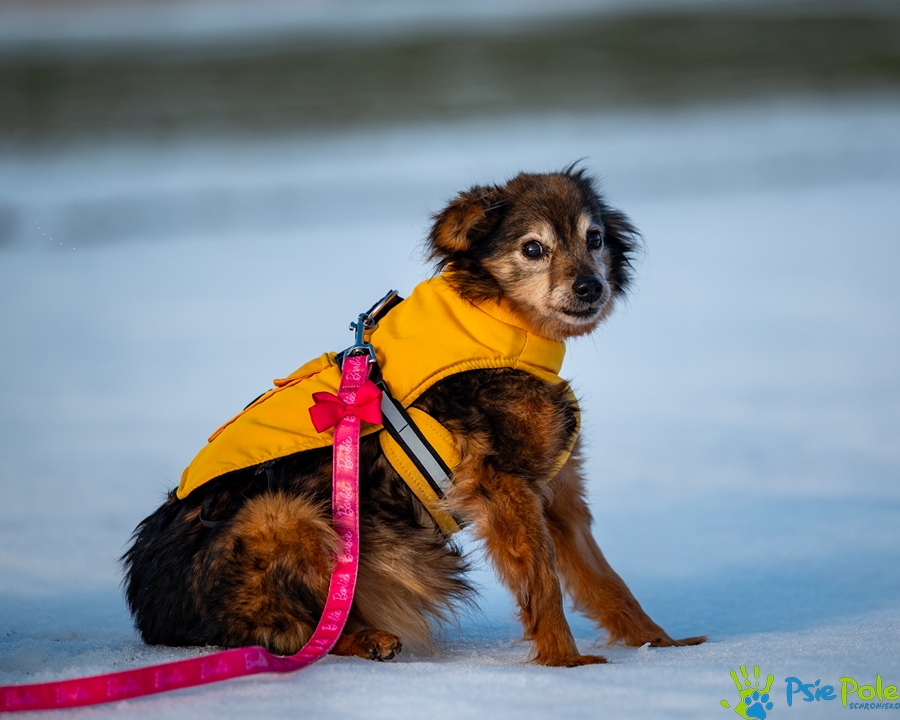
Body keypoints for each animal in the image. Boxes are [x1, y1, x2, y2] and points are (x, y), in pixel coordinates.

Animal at [123, 167, 704, 667]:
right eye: (533, 248)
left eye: (595, 239)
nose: (590, 287)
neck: (498, 325)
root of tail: (149, 612)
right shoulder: (505, 485)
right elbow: (543, 586)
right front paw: (566, 661)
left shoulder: (558, 490)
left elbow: (607, 583)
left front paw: (663, 645)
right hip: (282, 513)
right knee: (288, 633)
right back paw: (367, 639)